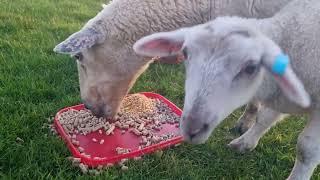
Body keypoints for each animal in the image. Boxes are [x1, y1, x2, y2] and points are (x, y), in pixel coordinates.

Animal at [132, 0, 320, 179]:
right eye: (185, 53)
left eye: (251, 68)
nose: (192, 129)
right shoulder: (280, 96)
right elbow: (263, 119)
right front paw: (245, 142)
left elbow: (306, 150)